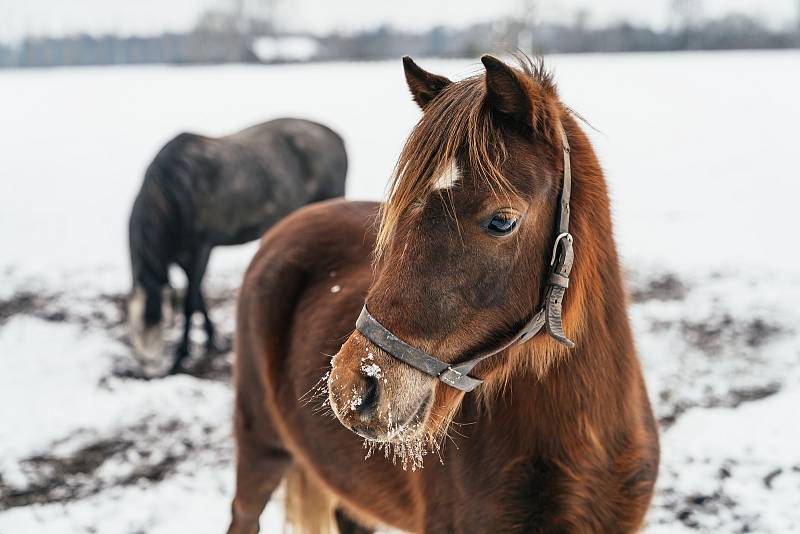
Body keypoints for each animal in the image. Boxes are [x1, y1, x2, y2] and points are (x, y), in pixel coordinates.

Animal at [128, 118, 346, 376]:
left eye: (166, 323)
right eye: (135, 328)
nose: (150, 371)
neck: (176, 196)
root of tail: (337, 137)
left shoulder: (201, 249)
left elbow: (190, 302)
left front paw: (181, 357)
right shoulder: (181, 257)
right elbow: (198, 296)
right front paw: (211, 340)